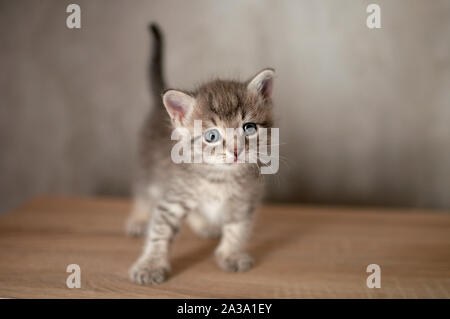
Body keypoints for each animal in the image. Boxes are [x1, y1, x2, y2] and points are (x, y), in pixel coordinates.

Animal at [125, 24, 274, 284]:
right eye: (212, 136)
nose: (236, 150)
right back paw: (139, 219)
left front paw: (230, 254)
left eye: (249, 128)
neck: (219, 178)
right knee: (144, 194)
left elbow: (237, 228)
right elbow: (160, 231)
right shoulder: (173, 196)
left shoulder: (244, 199)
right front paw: (150, 265)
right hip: (146, 166)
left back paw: (204, 225)